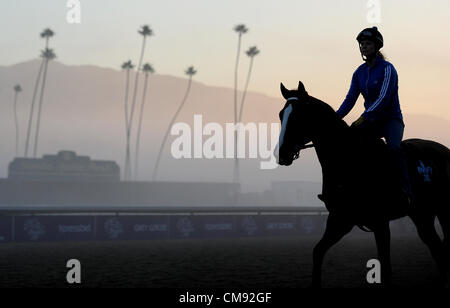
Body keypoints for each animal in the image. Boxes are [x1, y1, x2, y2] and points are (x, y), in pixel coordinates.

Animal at [276, 81, 448, 286]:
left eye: (298, 115)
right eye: (281, 115)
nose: (282, 154)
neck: (351, 162)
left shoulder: (380, 222)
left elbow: (386, 267)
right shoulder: (340, 220)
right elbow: (317, 252)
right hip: (422, 215)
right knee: (436, 247)